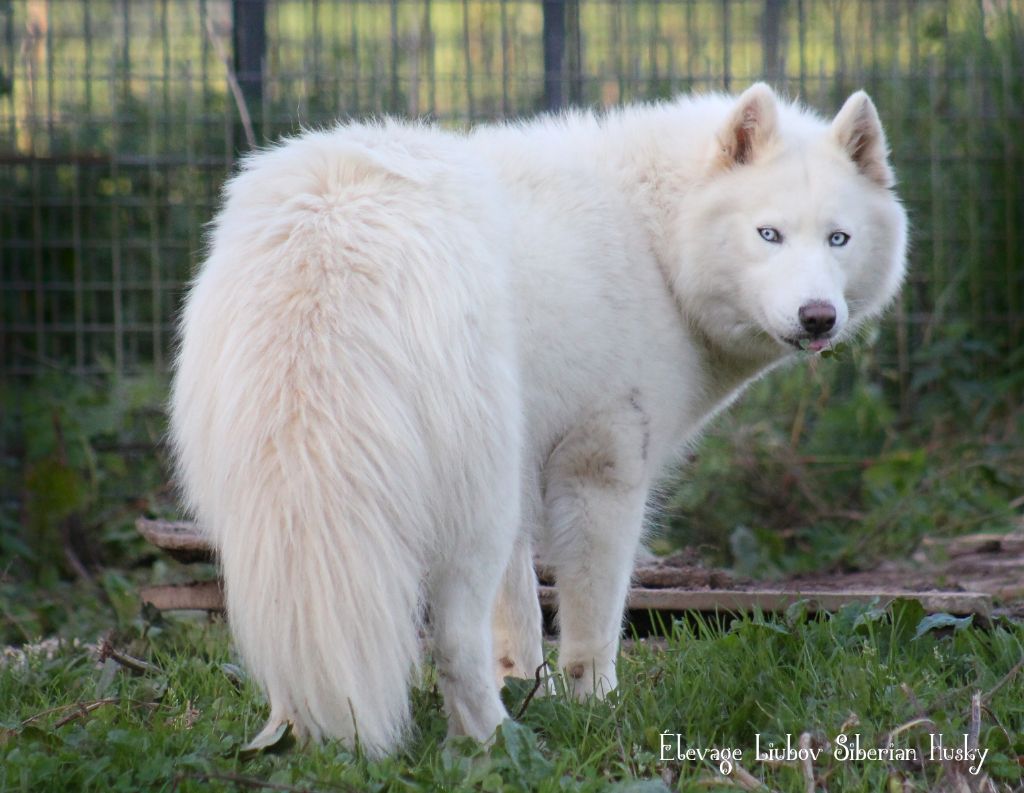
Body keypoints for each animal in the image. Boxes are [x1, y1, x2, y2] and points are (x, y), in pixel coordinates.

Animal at [172, 82, 909, 758]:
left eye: (838, 239)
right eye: (769, 234)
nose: (818, 318)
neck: (655, 241)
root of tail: (329, 236)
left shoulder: (529, 483)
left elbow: (522, 625)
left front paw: (535, 690)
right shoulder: (601, 472)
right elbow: (592, 628)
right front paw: (597, 712)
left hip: (271, 521)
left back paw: (299, 735)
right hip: (475, 515)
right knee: (453, 645)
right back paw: (499, 743)